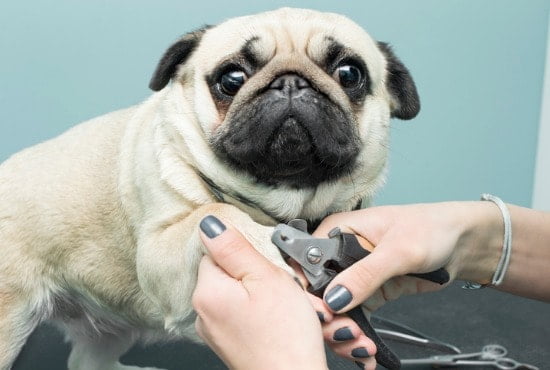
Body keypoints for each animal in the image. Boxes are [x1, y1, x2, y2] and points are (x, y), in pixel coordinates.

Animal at [0, 6, 418, 370]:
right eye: (231, 79)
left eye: (349, 74)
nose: (290, 82)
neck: (284, 201)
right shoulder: (158, 253)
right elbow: (213, 211)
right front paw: (263, 245)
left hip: (107, 333)